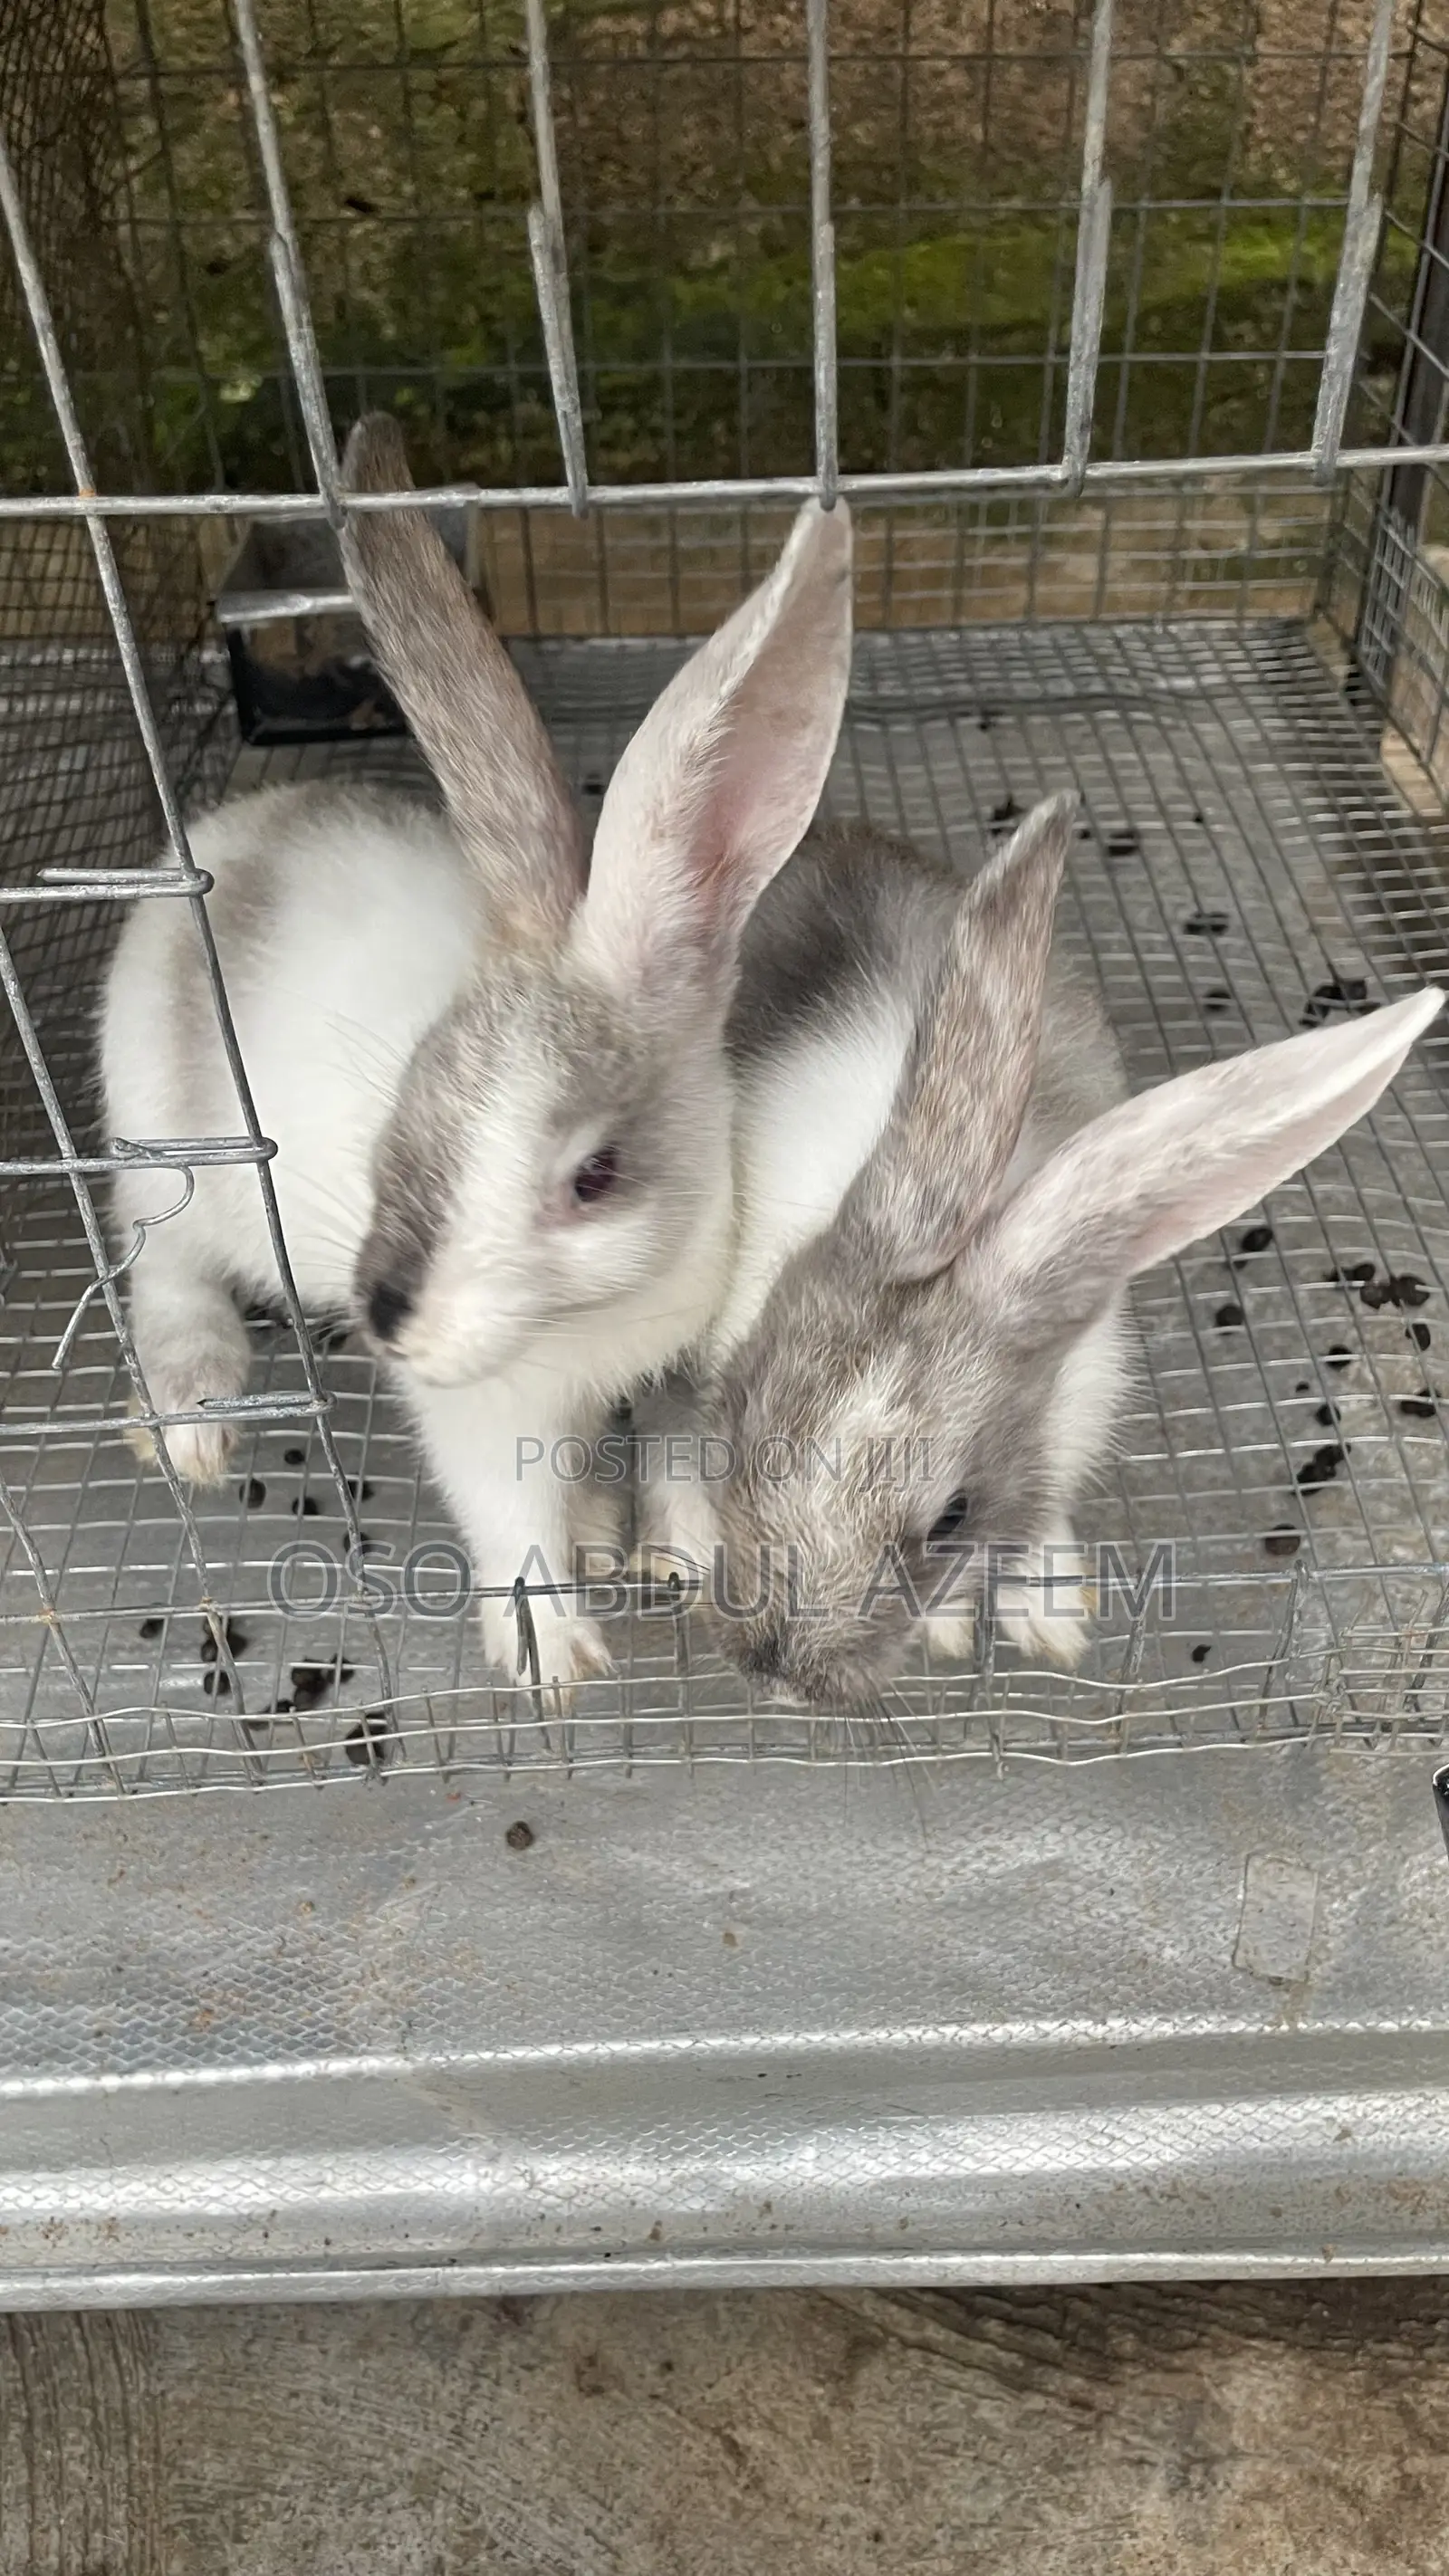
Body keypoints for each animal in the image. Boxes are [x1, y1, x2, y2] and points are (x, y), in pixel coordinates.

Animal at [99, 413, 853, 1693]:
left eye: (594, 1175)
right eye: (413, 1110)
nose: (391, 1320)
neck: (602, 1317)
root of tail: (210, 845)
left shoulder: (658, 1378)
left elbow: (651, 1466)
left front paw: (650, 1549)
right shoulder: (486, 1414)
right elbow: (509, 1519)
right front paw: (554, 1656)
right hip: (168, 1156)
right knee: (165, 1271)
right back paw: (198, 1418)